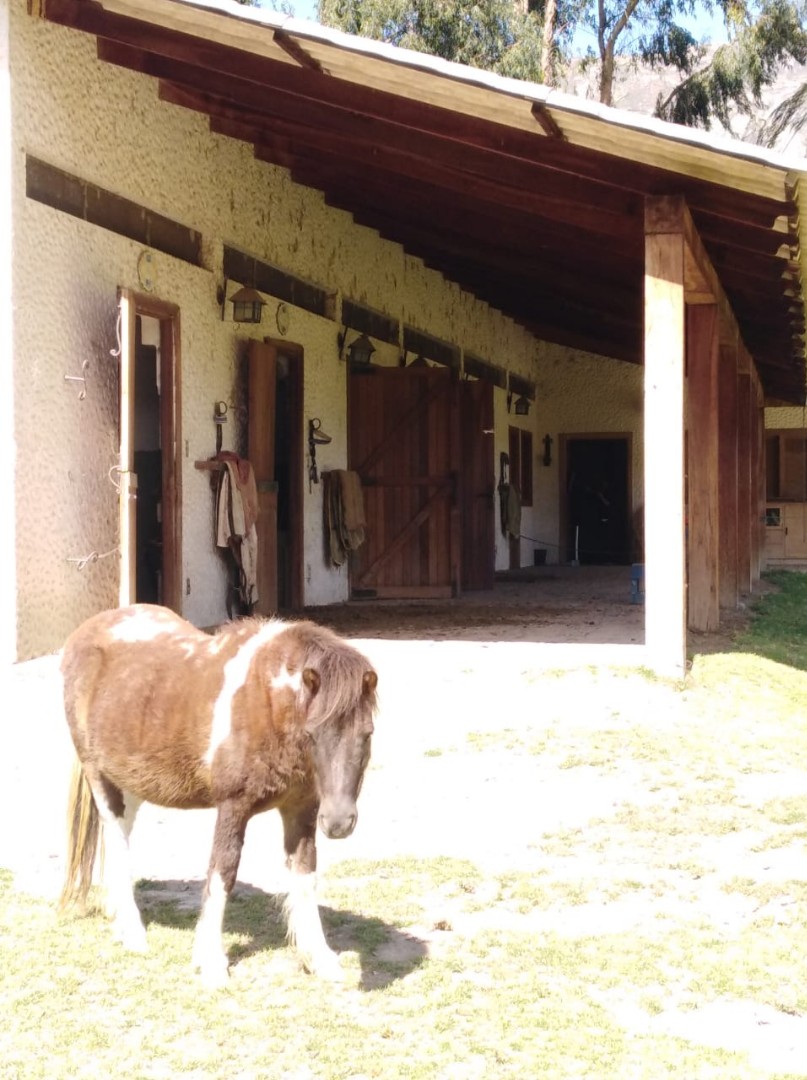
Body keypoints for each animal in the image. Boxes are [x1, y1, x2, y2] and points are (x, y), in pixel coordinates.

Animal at [59, 604, 378, 984]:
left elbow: (305, 874)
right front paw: (210, 960)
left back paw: (119, 919)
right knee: (118, 843)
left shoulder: (301, 807)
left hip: (130, 782)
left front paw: (320, 959)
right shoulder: (233, 806)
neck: (267, 704)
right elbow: (223, 871)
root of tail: (85, 632)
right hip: (100, 777)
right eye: (312, 733)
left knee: (119, 838)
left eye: (367, 733)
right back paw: (134, 933)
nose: (339, 822)